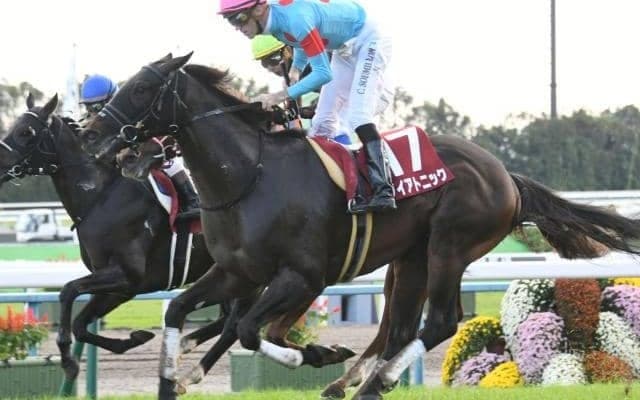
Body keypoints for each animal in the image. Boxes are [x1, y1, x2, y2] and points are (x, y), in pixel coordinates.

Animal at [80, 53, 640, 400]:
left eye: (143, 87)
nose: (93, 135)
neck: (248, 177)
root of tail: (506, 174)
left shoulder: (301, 276)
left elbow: (247, 330)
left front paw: (316, 354)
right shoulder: (235, 271)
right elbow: (180, 311)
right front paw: (169, 381)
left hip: (449, 246)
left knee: (440, 322)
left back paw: (369, 384)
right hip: (412, 258)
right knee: (403, 327)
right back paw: (367, 382)